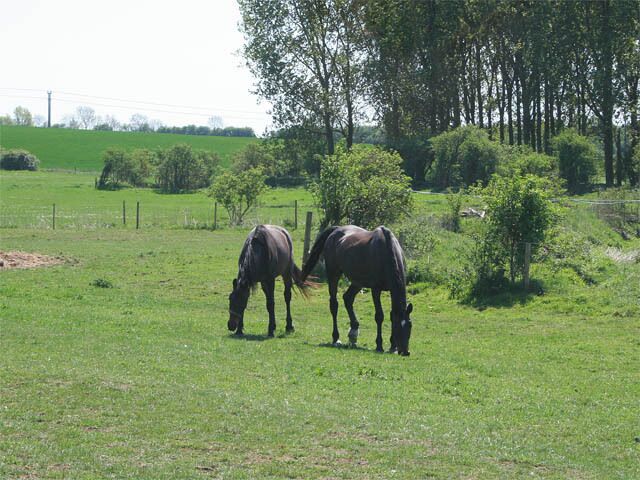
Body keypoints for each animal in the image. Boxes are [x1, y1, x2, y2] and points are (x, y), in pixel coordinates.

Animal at [301, 225, 413, 356]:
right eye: (398, 327)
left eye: (410, 325)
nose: (405, 351)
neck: (386, 251)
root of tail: (336, 230)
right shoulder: (376, 290)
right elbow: (379, 316)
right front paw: (379, 345)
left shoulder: (390, 290)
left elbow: (391, 314)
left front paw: (393, 346)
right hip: (334, 274)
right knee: (334, 305)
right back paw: (336, 338)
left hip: (357, 282)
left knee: (347, 298)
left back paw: (353, 332)